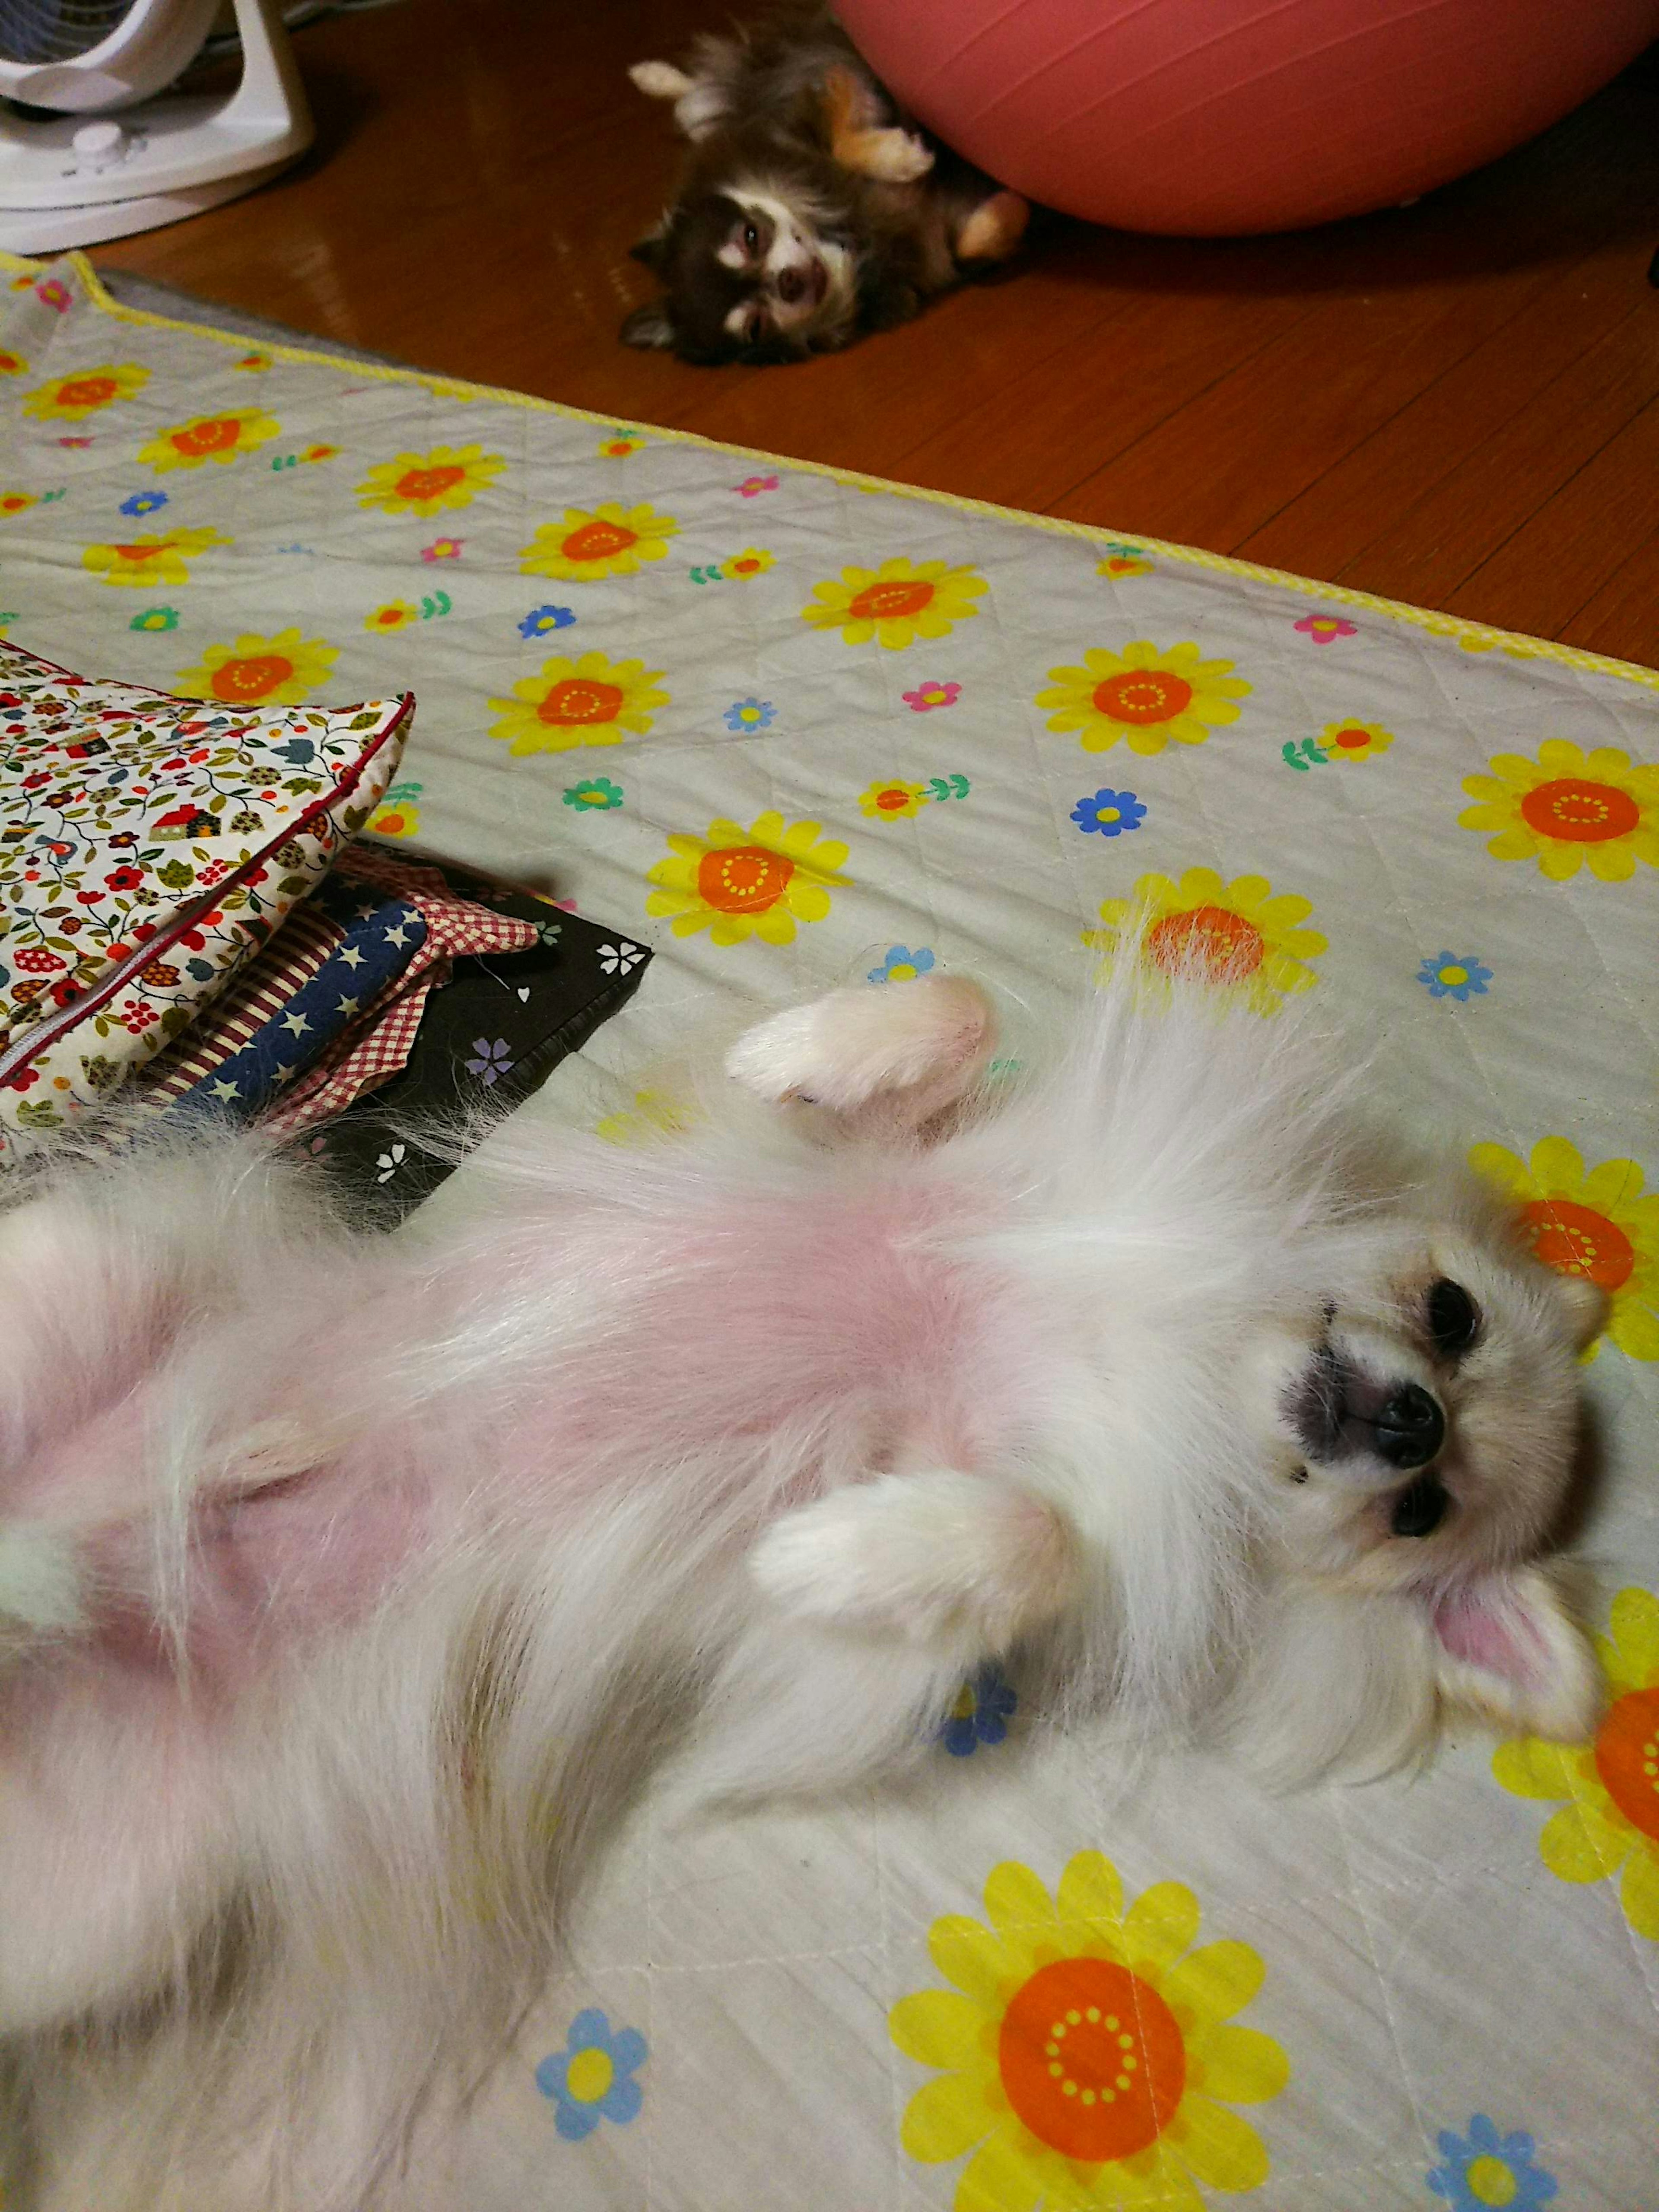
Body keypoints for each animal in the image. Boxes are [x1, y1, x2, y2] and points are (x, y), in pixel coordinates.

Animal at [0, 973, 1610, 2212]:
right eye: (1454, 1316)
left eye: (1424, 1515)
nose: (1412, 1426)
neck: (1138, 1338)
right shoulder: (893, 1164)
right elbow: (945, 1009)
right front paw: (804, 1045)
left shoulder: (859, 1590)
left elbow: (1023, 1536)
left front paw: (842, 1552)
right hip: (85, 1271)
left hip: (121, 1897)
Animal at [628, 1, 1035, 362]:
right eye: (755, 327)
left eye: (751, 236)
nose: (788, 282)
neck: (846, 235)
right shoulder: (939, 252)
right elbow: (976, 241)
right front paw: (1014, 203)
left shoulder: (838, 75)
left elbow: (841, 136)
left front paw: (902, 158)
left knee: (703, 92)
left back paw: (658, 77)